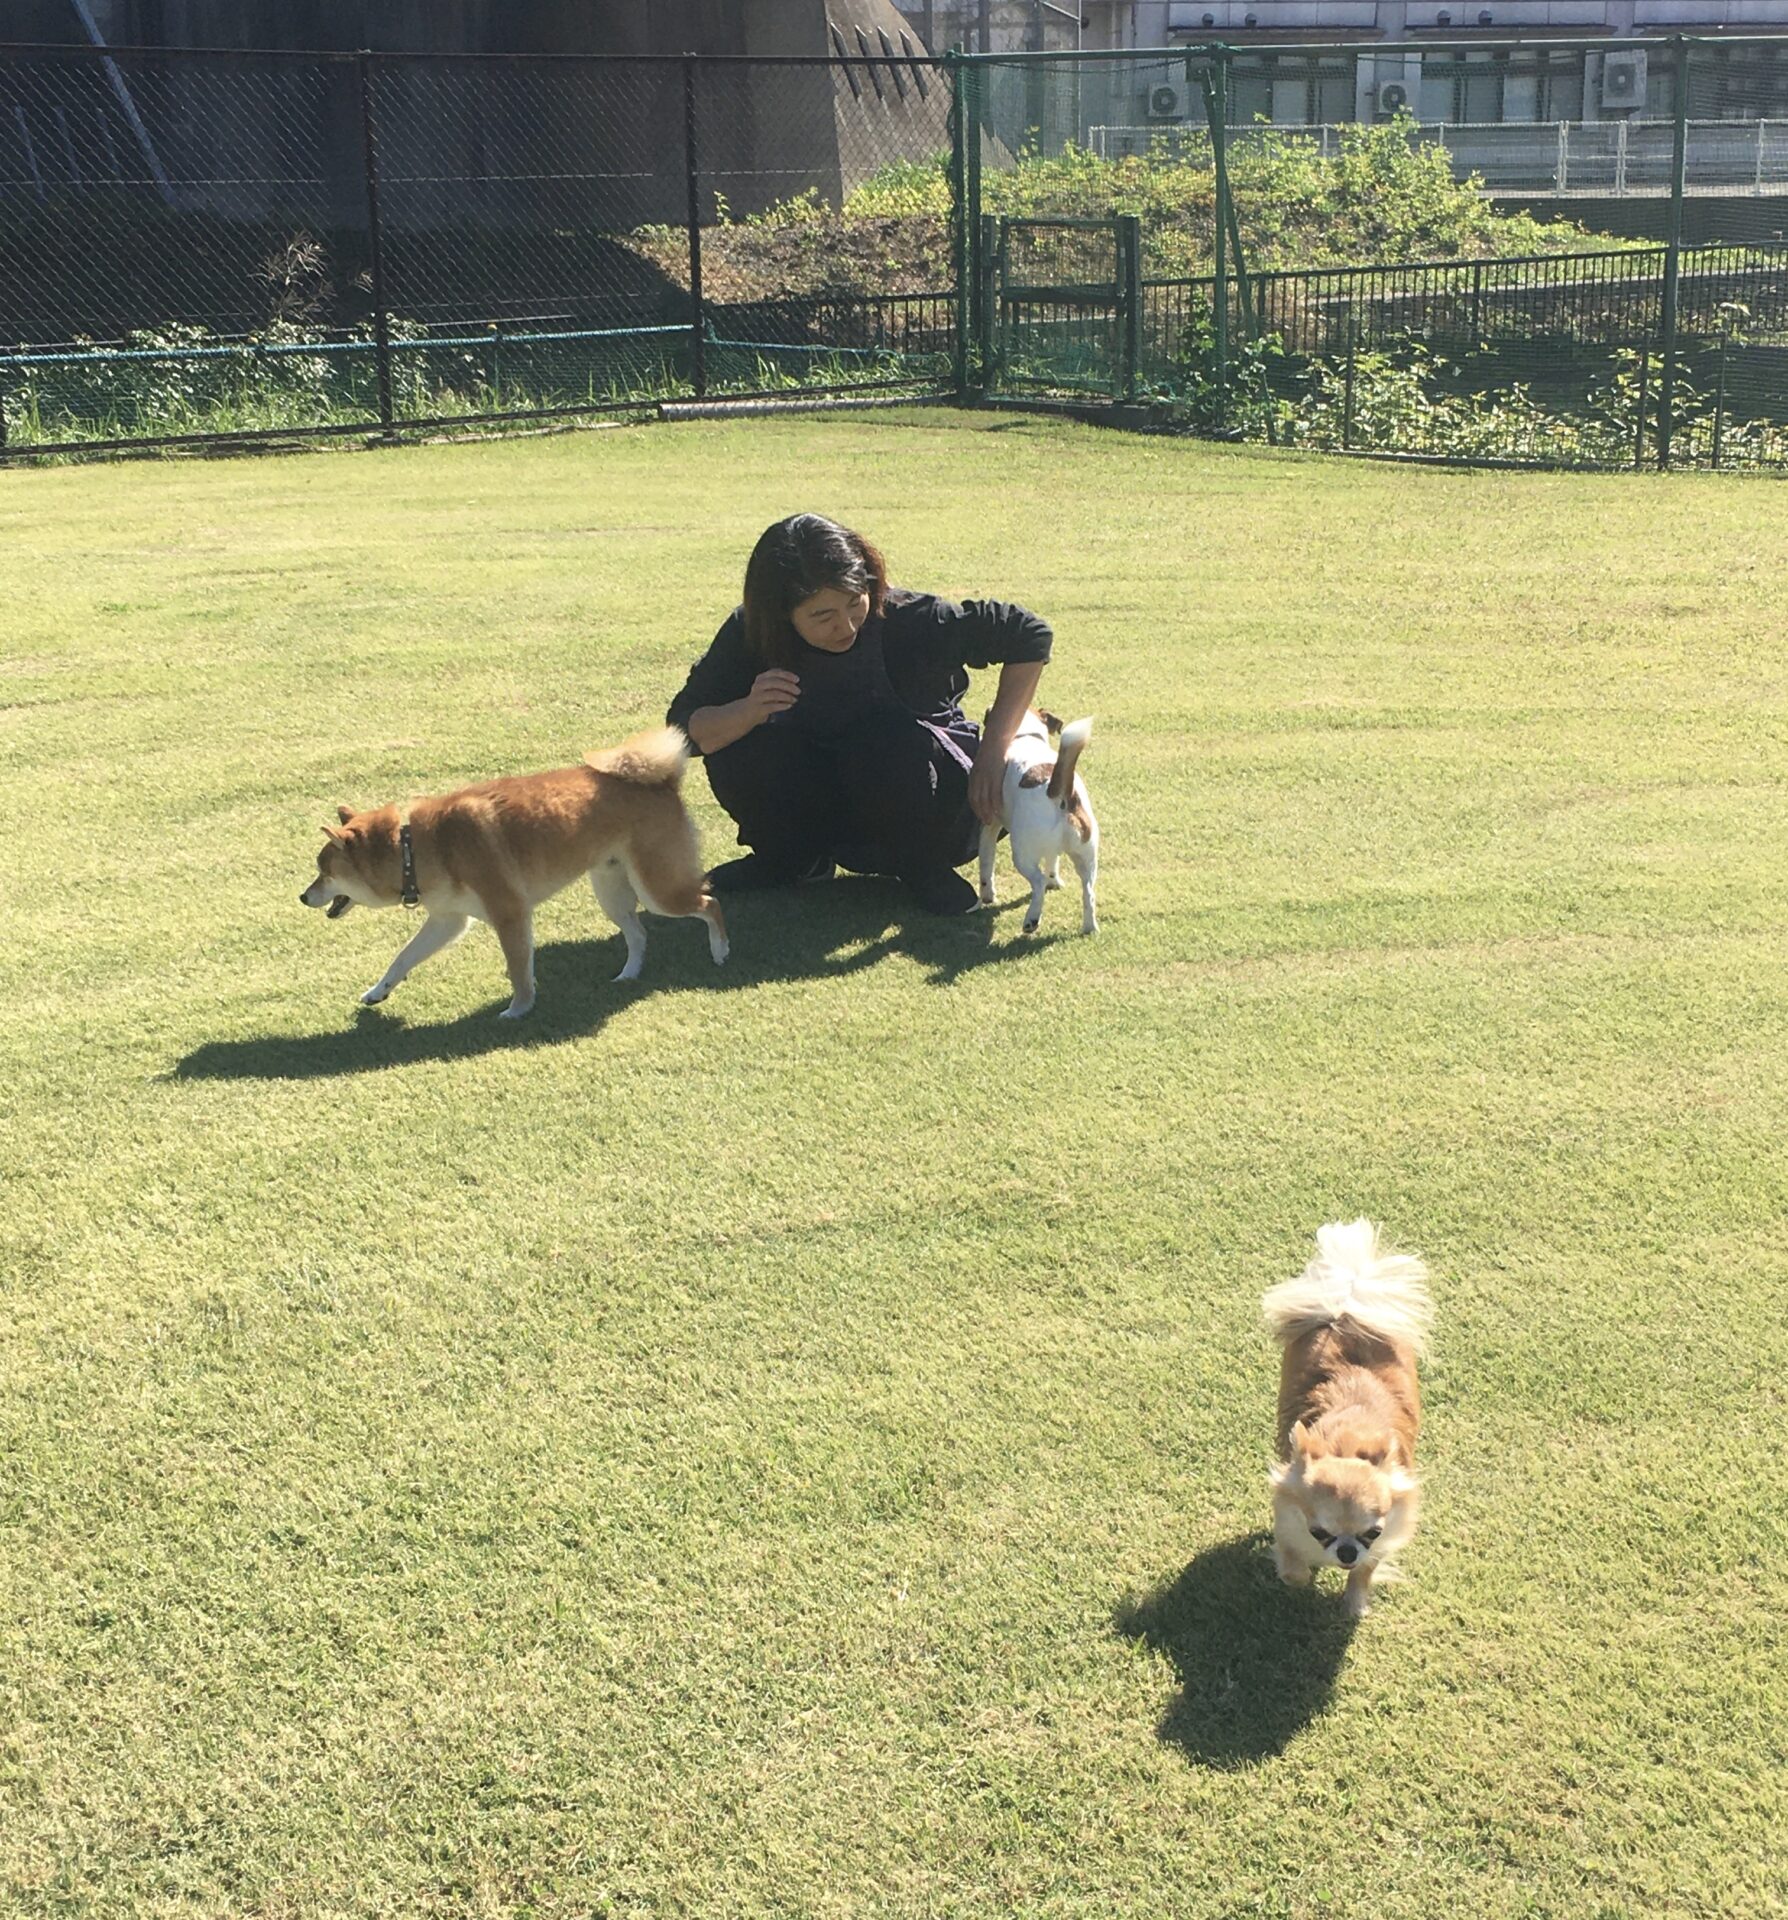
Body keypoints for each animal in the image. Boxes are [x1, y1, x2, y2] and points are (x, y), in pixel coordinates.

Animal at [299, 727, 727, 1019]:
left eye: (324, 872)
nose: (303, 896)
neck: (414, 847)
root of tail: (664, 782)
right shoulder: (447, 920)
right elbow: (402, 958)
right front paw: (377, 992)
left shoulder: (509, 913)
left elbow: (518, 967)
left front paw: (518, 1009)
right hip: (612, 892)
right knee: (639, 934)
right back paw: (628, 975)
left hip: (657, 890)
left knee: (710, 902)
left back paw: (720, 951)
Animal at [977, 708, 1099, 934]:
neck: (1025, 736)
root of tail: (1058, 792)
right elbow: (1052, 862)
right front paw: (1055, 881)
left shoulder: (989, 825)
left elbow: (986, 864)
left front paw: (987, 896)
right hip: (1087, 855)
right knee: (1088, 891)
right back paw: (1090, 927)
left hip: (1022, 854)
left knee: (1038, 882)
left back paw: (1031, 920)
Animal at [1262, 1219, 1432, 1616]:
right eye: (1319, 1532)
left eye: (1372, 1533)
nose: (1346, 1551)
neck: (1348, 1445)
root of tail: (1347, 1312)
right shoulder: (1287, 1515)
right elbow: (1292, 1564)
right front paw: (1297, 1575)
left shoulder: (1382, 1541)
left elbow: (1365, 1571)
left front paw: (1355, 1605)